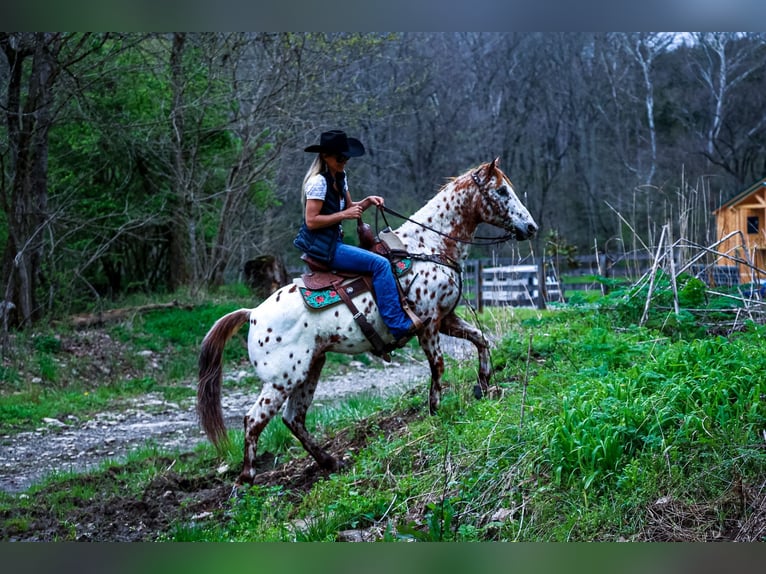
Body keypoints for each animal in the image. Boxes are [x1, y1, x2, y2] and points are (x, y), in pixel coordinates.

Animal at [198, 161, 540, 486]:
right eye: (501, 191)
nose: (531, 227)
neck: (428, 247)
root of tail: (253, 313)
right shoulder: (428, 324)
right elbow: (438, 366)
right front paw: (435, 410)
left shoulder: (446, 319)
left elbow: (481, 339)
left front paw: (484, 384)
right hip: (282, 379)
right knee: (254, 420)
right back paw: (247, 478)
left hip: (310, 369)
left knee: (294, 418)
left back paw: (331, 463)